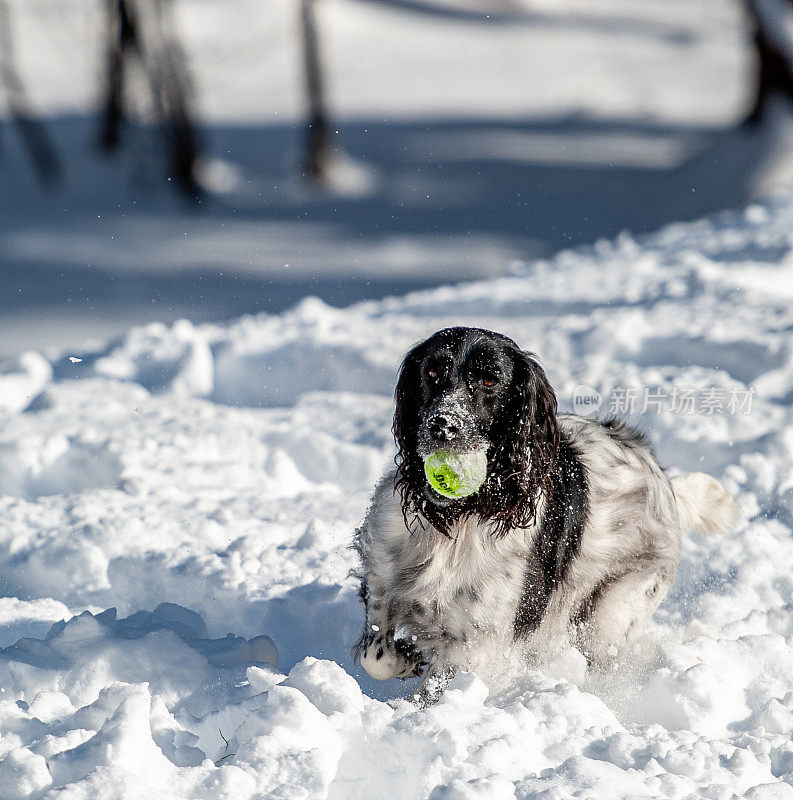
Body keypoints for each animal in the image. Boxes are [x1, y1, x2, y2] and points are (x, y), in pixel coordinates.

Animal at [352, 324, 736, 700]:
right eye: (431, 373)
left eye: (489, 380)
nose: (442, 424)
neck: (459, 517)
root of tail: (663, 477)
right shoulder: (382, 581)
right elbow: (377, 656)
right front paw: (407, 657)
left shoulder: (477, 641)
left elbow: (436, 694)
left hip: (614, 609)